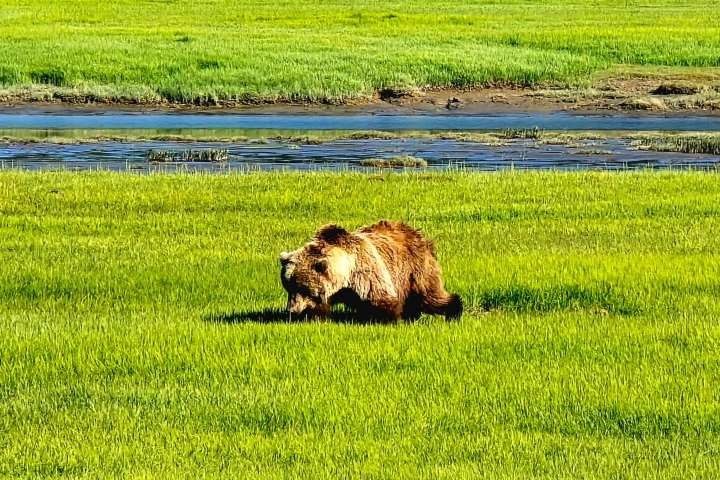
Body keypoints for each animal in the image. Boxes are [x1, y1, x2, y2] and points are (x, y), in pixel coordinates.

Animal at [279, 220, 462, 322]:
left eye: (303, 288)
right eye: (288, 287)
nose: (292, 311)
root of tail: (418, 234)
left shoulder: (365, 273)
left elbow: (381, 299)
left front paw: (387, 318)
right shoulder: (330, 291)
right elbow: (319, 308)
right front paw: (311, 317)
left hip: (415, 269)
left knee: (429, 296)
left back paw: (454, 311)